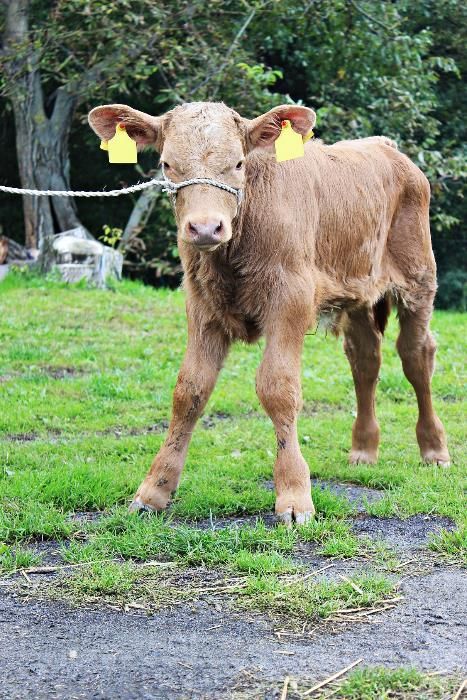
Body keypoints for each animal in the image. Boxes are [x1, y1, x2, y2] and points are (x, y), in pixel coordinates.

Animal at [89, 101, 452, 524]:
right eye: (167, 164)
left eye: (238, 163)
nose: (205, 228)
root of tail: (385, 146)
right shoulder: (201, 306)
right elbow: (190, 391)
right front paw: (154, 490)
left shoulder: (291, 299)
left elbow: (278, 388)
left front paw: (294, 495)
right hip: (358, 291)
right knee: (365, 360)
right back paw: (363, 449)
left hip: (418, 279)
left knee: (416, 356)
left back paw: (434, 449)